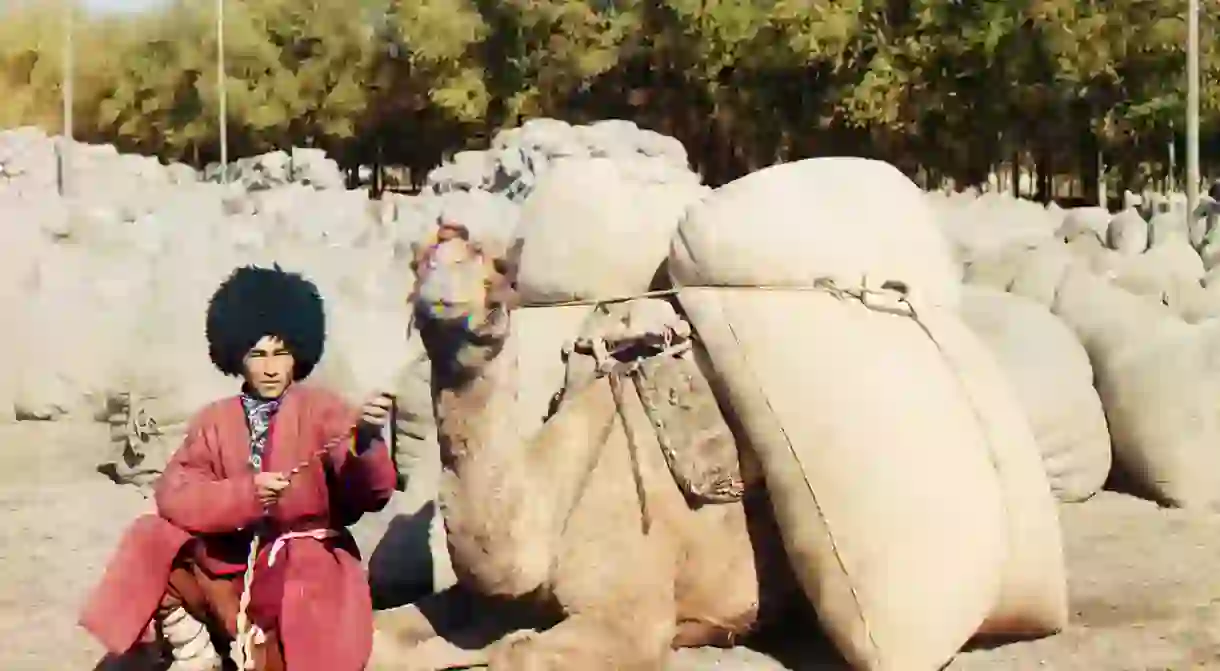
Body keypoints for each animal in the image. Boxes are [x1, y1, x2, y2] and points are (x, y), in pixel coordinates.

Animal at [375, 228, 805, 671]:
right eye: (419, 264)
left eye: (501, 272)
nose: (441, 301)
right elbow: (386, 634)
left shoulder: (629, 615)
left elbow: (518, 653)